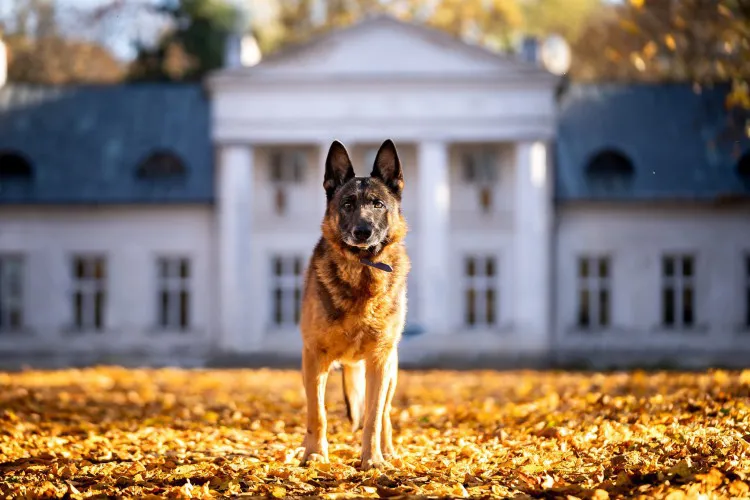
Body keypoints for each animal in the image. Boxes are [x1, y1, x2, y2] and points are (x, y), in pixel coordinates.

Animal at [298, 139, 412, 470]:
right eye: (347, 204)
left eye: (378, 204)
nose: (363, 231)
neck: (362, 270)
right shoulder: (314, 358)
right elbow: (317, 414)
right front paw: (315, 454)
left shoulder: (379, 361)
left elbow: (373, 418)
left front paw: (372, 459)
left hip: (390, 371)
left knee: (384, 414)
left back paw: (387, 451)